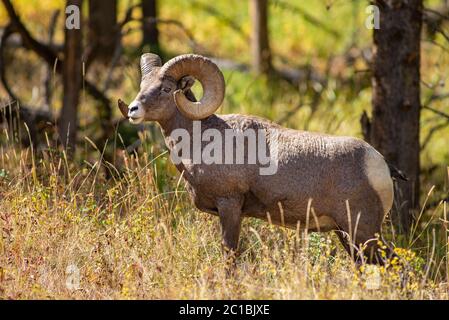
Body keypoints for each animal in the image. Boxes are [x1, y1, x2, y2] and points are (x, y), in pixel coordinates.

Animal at [119, 53, 400, 262]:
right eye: (142, 86)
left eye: (166, 88)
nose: (133, 110)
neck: (202, 141)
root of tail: (381, 166)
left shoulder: (230, 205)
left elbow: (230, 255)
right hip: (348, 235)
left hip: (363, 231)